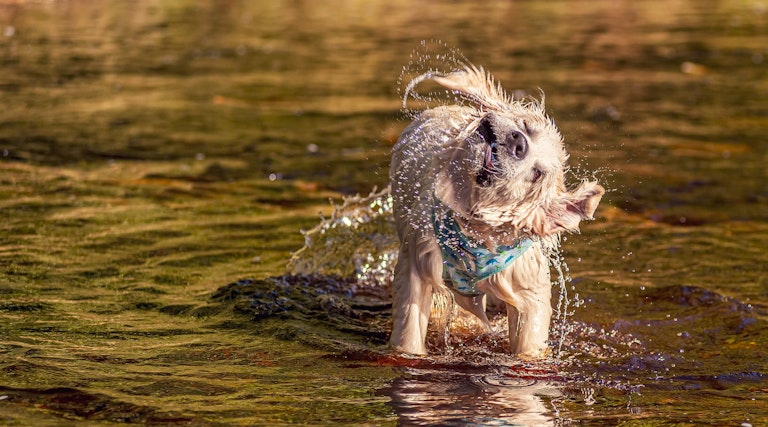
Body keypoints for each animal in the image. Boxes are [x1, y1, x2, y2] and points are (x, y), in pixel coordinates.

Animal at [390, 64, 608, 358]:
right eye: (526, 127)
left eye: (537, 174)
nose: (518, 142)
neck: (475, 235)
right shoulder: (417, 259)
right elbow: (409, 330)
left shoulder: (527, 286)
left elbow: (529, 340)